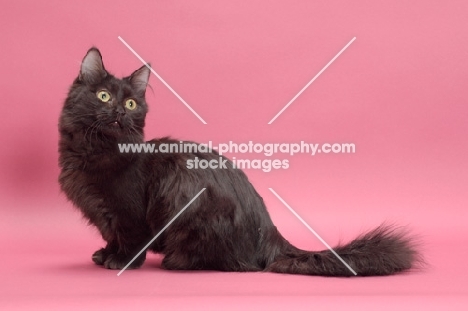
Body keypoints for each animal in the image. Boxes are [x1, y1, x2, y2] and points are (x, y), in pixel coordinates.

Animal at [57, 47, 420, 276]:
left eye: (131, 103)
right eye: (104, 96)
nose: (119, 112)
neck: (94, 151)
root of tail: (271, 234)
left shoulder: (130, 213)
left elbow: (130, 238)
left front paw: (121, 262)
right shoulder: (104, 213)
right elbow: (111, 236)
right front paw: (106, 254)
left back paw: (177, 262)